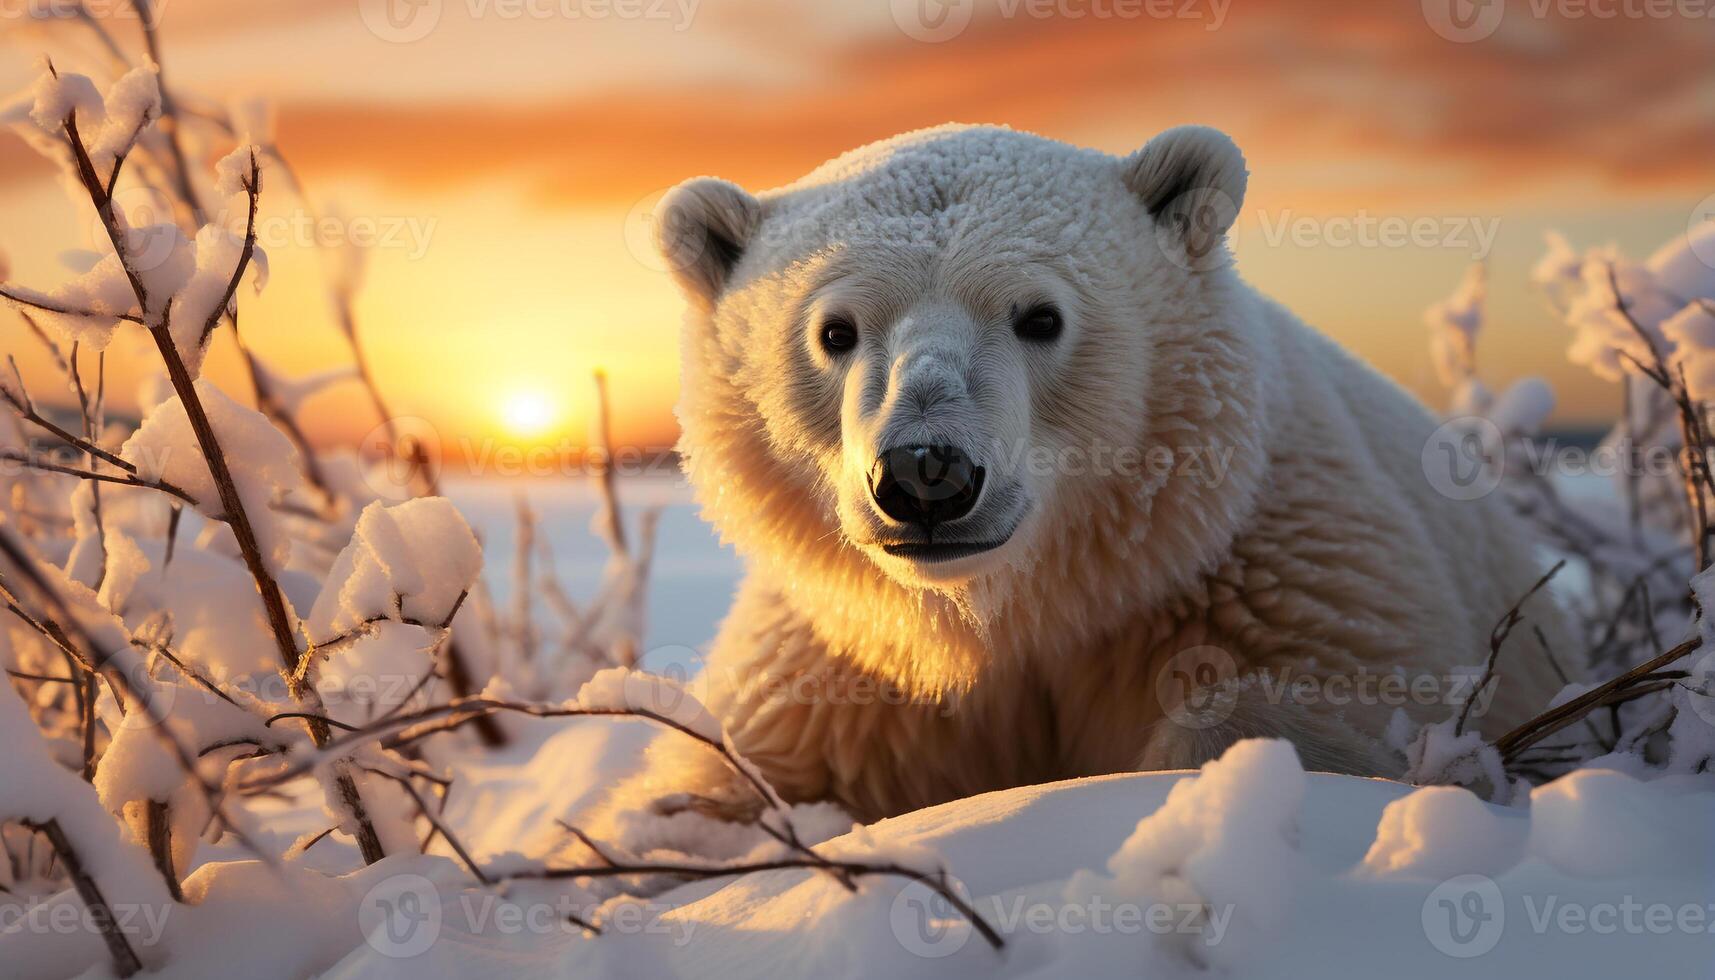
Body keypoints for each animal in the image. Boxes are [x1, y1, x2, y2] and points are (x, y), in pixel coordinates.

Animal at [603, 124, 1570, 844]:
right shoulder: (840, 673)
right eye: (833, 331)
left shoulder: (1281, 576)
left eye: (1040, 316)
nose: (924, 472)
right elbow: (727, 791)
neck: (1019, 611)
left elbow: (1328, 716)